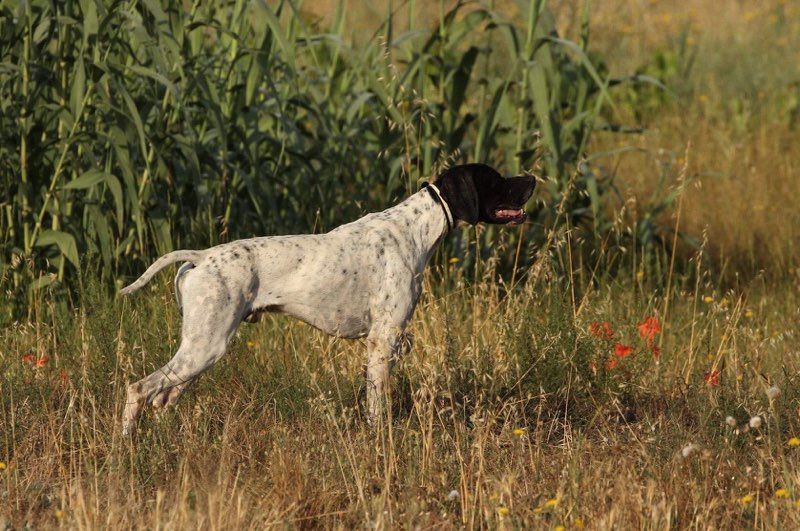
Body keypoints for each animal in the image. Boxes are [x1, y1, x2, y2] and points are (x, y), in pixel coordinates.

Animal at [120, 163, 536, 436]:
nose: (532, 178)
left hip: (201, 349)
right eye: (497, 179)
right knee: (139, 389)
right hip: (206, 345)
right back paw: (127, 446)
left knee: (163, 398)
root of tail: (203, 256)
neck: (415, 230)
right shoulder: (383, 340)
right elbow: (376, 407)